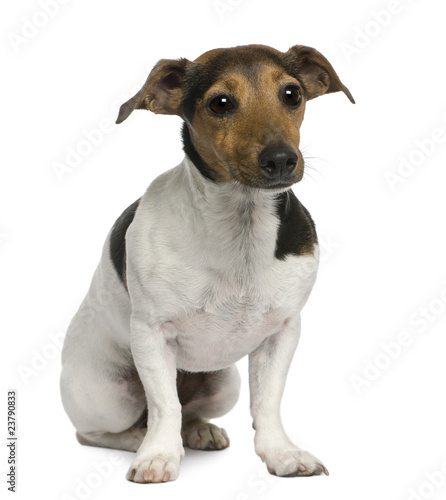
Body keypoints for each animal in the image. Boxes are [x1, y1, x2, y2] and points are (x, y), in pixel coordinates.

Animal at [60, 44, 356, 484]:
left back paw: (200, 431)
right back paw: (137, 438)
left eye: (292, 95)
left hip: (223, 384)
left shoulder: (283, 333)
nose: (281, 159)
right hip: (107, 393)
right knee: (104, 429)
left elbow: (267, 403)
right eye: (220, 103)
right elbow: (164, 406)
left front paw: (282, 454)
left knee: (190, 413)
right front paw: (158, 457)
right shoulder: (151, 334)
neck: (241, 226)